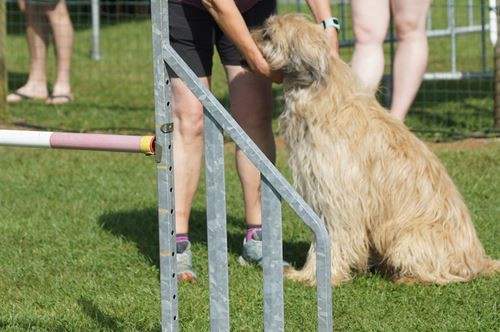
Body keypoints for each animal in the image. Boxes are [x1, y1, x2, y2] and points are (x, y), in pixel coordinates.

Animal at [254, 14, 500, 286]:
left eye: (268, 35)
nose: (247, 36)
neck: (319, 92)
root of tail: (477, 261)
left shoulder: (337, 197)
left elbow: (332, 238)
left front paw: (315, 276)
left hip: (402, 237)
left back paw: (405, 277)